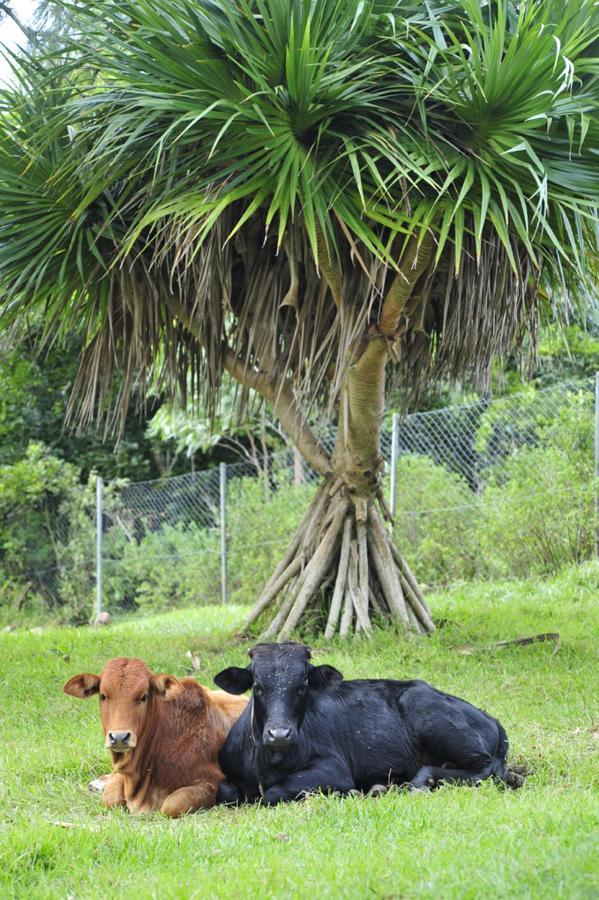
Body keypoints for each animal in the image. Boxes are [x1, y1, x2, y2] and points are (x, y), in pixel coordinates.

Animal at [63, 656, 246, 820]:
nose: (120, 737)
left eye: (143, 697)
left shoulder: (212, 782)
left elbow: (172, 804)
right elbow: (111, 798)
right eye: (103, 695)